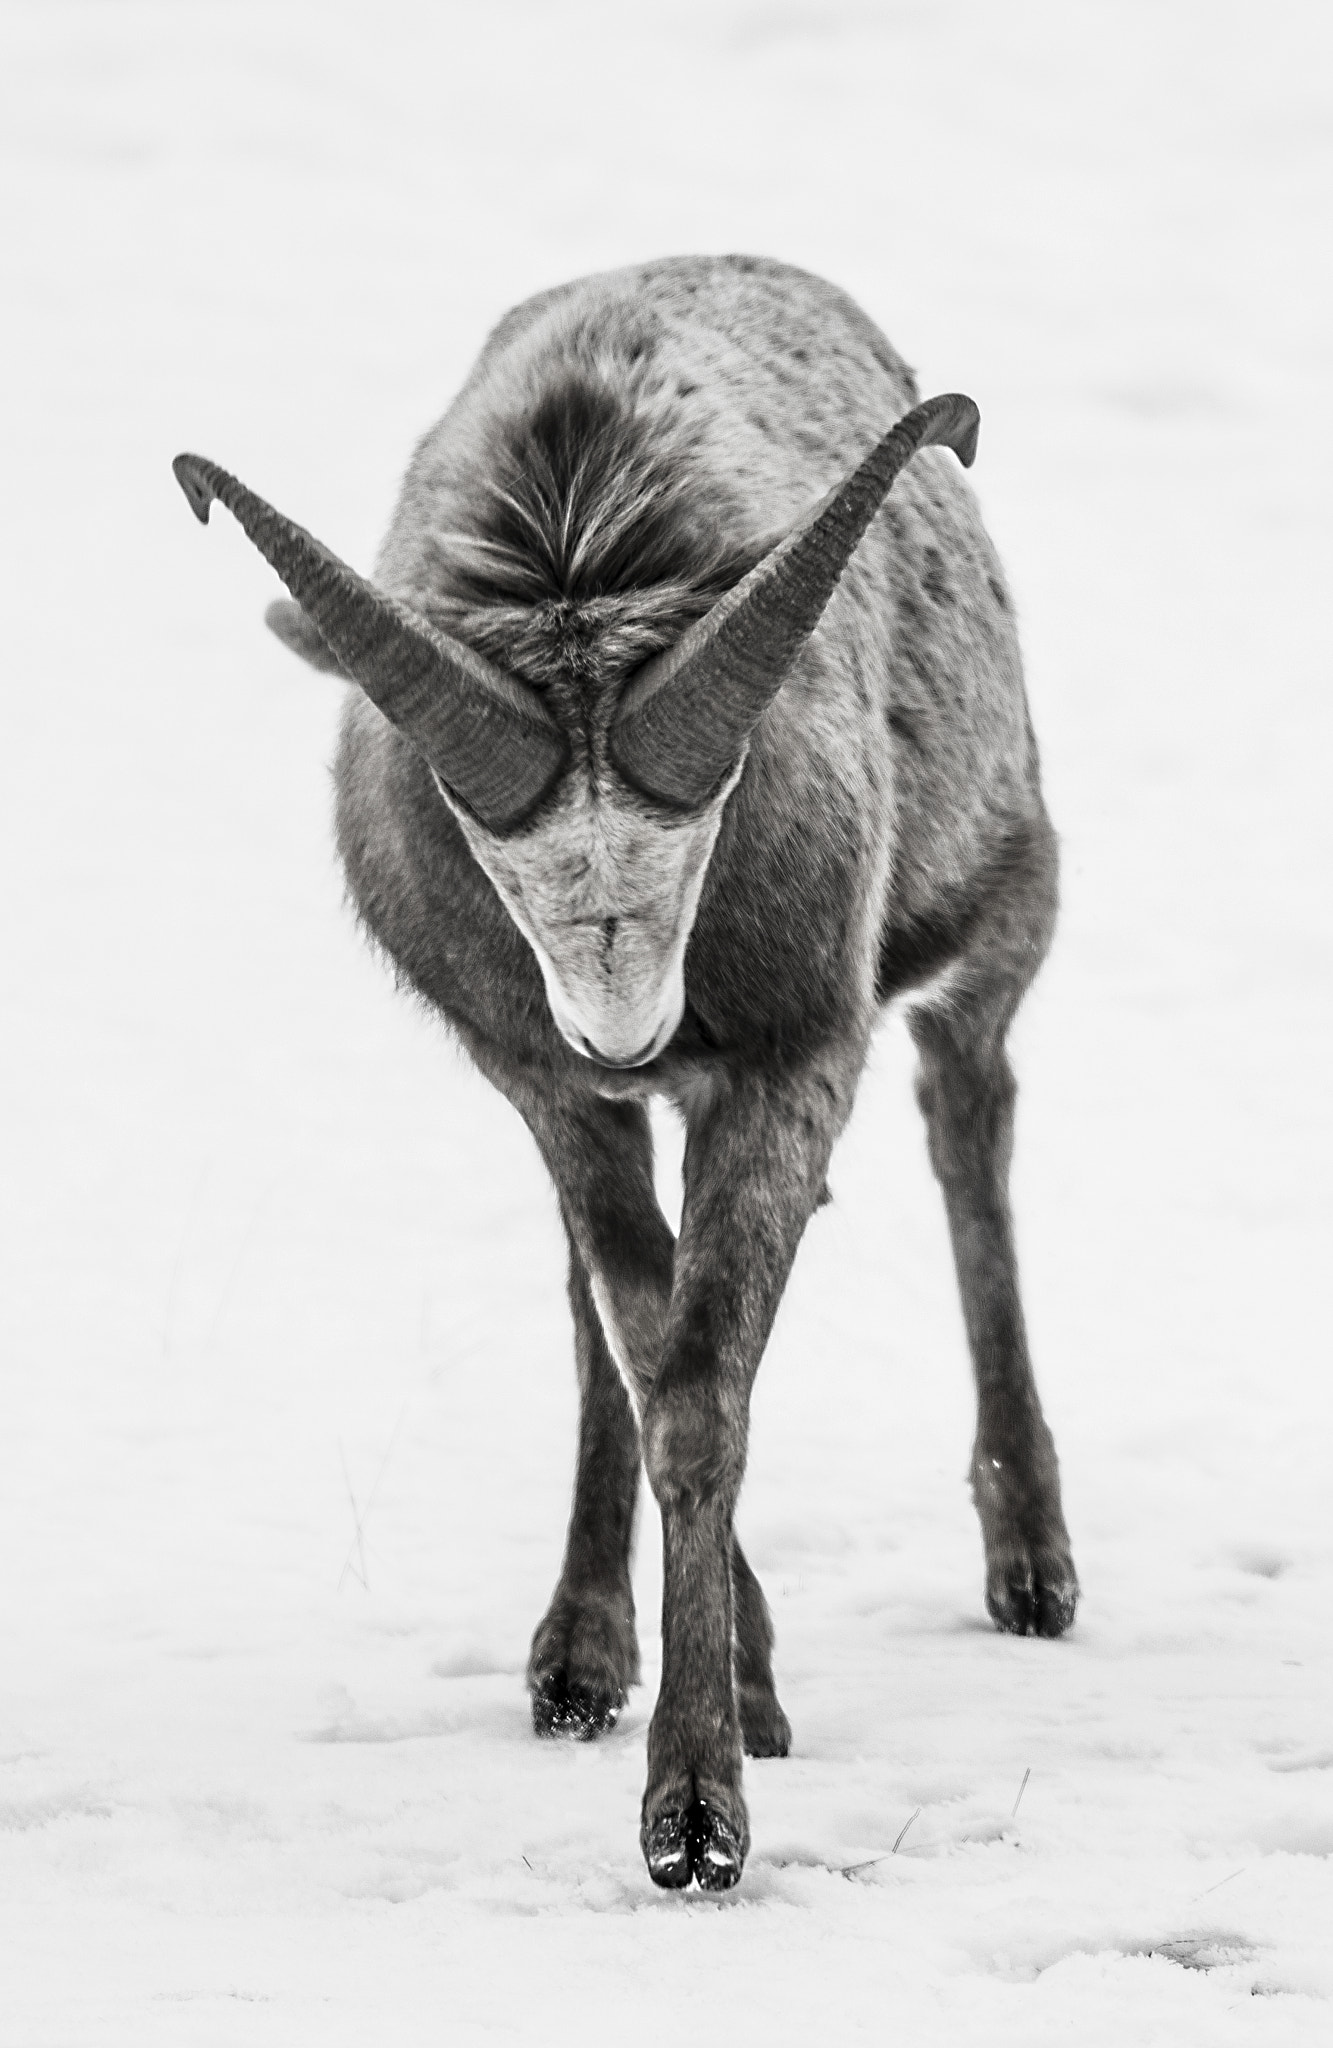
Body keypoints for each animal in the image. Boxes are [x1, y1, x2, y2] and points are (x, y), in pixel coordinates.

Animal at [175, 251, 1072, 1884]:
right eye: (478, 833)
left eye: (714, 802)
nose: (629, 1032)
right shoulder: (541, 1084)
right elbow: (654, 1353)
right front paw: (715, 1708)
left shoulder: (786, 1066)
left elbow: (705, 1387)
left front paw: (699, 1821)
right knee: (602, 1302)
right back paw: (581, 1665)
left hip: (997, 920)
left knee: (968, 1124)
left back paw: (1033, 1570)